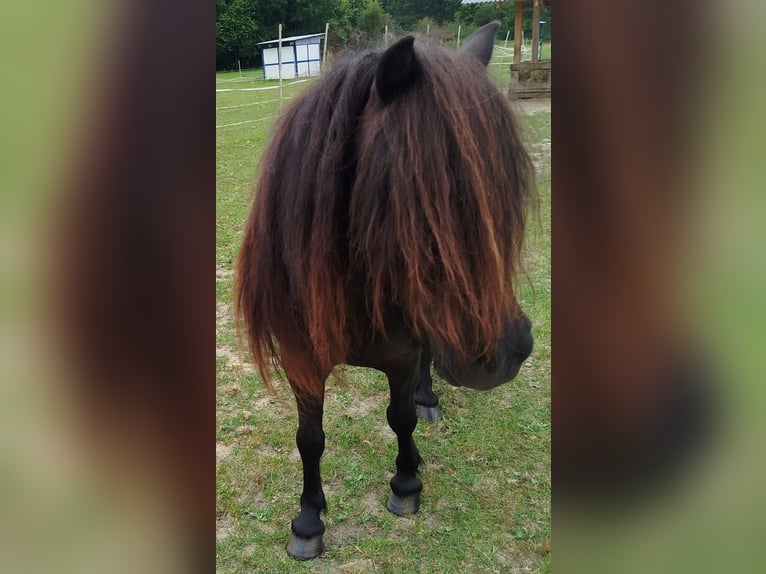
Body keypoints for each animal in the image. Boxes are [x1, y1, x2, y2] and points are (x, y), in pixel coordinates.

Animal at [234, 22, 535, 560]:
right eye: (421, 186)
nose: (507, 352)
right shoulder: (301, 360)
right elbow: (309, 438)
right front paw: (308, 521)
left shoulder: (402, 354)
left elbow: (401, 418)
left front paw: (407, 483)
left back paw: (429, 399)